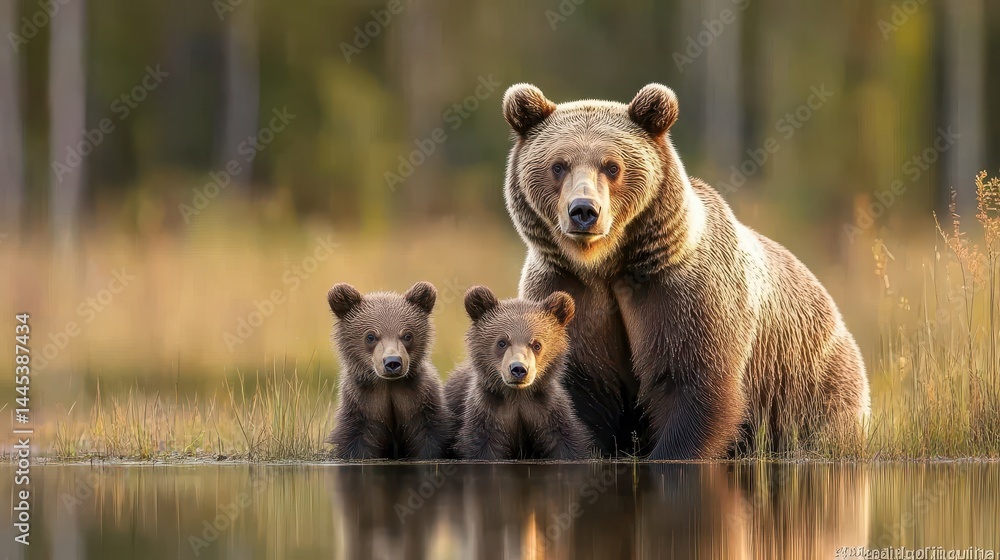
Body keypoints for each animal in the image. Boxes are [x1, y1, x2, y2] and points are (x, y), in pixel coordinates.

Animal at [325, 281, 452, 460]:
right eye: (370, 336)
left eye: (407, 335)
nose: (393, 362)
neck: (388, 385)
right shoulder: (363, 406)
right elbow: (357, 444)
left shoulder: (419, 401)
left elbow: (430, 440)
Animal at [445, 286, 591, 460]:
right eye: (502, 342)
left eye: (537, 344)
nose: (519, 369)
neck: (518, 395)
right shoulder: (487, 413)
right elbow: (481, 446)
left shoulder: (547, 411)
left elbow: (566, 443)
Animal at [500, 82, 870, 459]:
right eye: (559, 165)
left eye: (612, 166)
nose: (584, 211)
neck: (607, 265)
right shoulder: (567, 289)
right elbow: (579, 388)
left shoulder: (683, 293)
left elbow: (693, 382)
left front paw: (670, 453)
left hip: (811, 385)